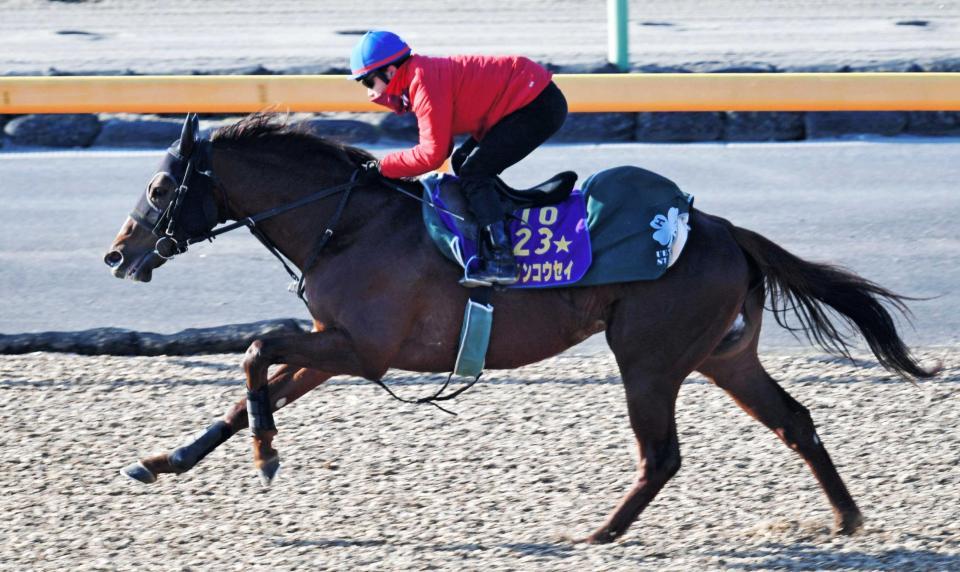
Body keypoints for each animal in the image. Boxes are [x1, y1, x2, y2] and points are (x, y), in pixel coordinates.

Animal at [103, 113, 936, 544]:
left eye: (160, 186)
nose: (118, 253)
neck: (346, 224)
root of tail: (724, 228)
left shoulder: (359, 346)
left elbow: (253, 352)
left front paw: (267, 456)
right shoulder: (336, 348)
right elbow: (249, 391)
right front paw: (165, 460)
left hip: (650, 357)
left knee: (662, 455)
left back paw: (599, 535)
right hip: (723, 356)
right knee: (795, 420)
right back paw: (846, 515)